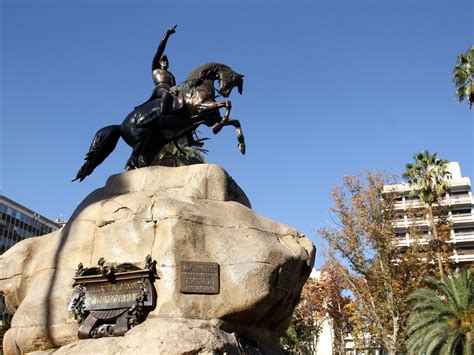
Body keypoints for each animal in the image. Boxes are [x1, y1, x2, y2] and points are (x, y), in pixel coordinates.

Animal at [75, 62, 244, 182]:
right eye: (231, 80)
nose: (224, 91)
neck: (197, 88)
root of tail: (120, 126)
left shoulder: (208, 118)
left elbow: (235, 120)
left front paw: (241, 145)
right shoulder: (200, 109)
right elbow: (227, 104)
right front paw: (218, 127)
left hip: (152, 146)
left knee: (138, 162)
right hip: (140, 139)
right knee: (132, 161)